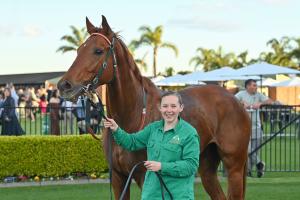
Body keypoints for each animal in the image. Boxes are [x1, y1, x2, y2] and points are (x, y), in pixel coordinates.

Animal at [57, 16, 250, 200]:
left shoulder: (145, 176)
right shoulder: (119, 178)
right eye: (78, 50)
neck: (133, 115)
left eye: (98, 51)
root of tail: (236, 101)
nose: (64, 85)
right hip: (206, 166)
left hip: (234, 167)